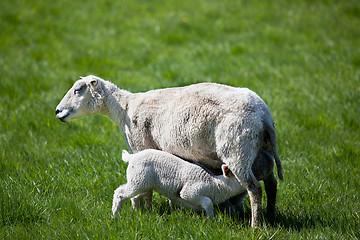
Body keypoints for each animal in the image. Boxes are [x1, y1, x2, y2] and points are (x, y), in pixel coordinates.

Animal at [112, 149, 248, 217]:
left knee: (135, 197)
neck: (216, 184)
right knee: (120, 193)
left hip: (144, 183)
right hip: (138, 179)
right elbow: (207, 202)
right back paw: (115, 215)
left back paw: (138, 212)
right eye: (240, 179)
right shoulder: (190, 192)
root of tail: (132, 157)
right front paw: (211, 219)